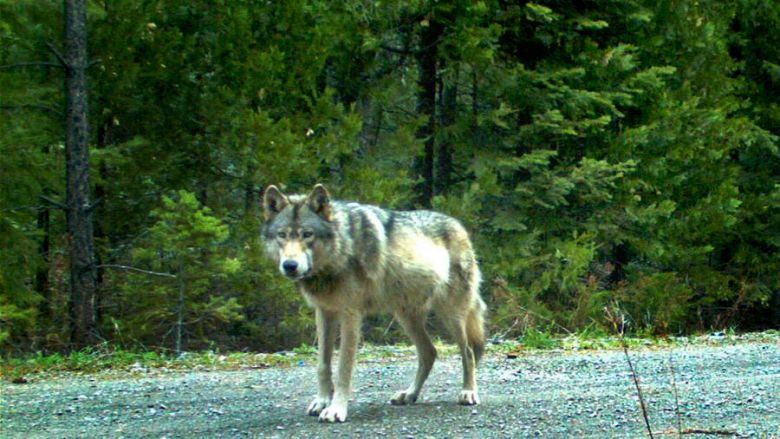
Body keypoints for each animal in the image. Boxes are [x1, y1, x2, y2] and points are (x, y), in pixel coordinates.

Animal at [262, 183, 484, 422]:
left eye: (307, 234)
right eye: (282, 235)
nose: (290, 265)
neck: (342, 248)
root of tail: (459, 225)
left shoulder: (350, 314)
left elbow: (343, 368)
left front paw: (336, 409)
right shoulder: (324, 312)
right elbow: (323, 365)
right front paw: (321, 401)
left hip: (451, 315)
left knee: (468, 351)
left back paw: (468, 392)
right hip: (405, 317)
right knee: (429, 352)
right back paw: (409, 394)